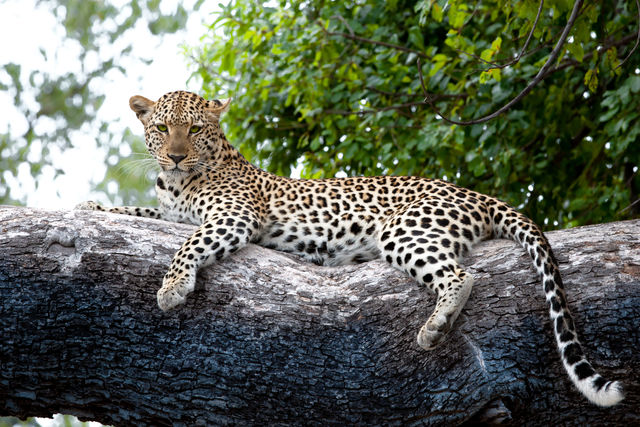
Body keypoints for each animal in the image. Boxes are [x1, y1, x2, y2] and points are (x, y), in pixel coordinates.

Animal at [76, 90, 623, 407]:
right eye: (162, 128)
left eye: (194, 128)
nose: (174, 155)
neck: (177, 182)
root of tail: (477, 194)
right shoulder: (171, 214)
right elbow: (139, 214)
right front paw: (91, 205)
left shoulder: (233, 216)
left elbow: (189, 243)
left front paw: (172, 287)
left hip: (404, 231)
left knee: (462, 275)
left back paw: (434, 327)